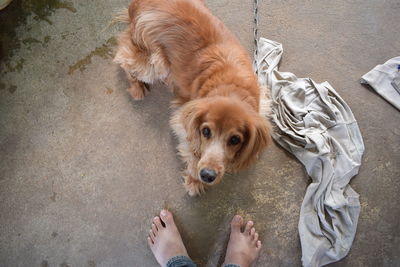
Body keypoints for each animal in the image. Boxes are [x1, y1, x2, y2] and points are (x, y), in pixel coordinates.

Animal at [114, 0, 274, 197]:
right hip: (156, 63)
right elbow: (193, 151)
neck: (230, 87)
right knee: (124, 56)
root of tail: (137, 3)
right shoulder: (183, 120)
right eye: (205, 131)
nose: (207, 175)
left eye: (235, 140)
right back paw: (137, 87)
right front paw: (194, 180)